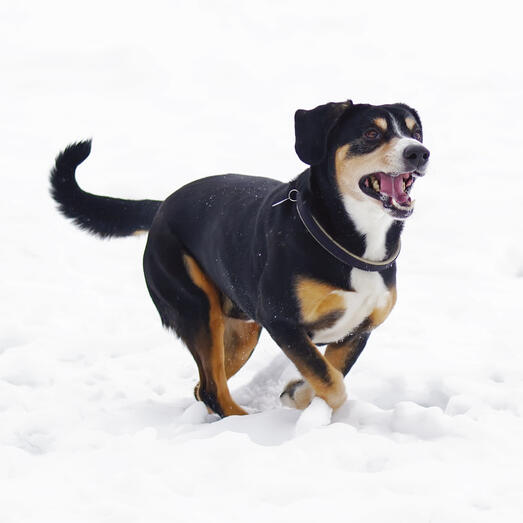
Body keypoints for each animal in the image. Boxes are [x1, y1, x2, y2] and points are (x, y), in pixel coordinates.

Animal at [51, 99, 432, 418]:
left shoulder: (357, 330)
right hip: (196, 308)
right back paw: (245, 423)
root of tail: (161, 207)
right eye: (371, 133)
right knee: (212, 389)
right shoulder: (281, 321)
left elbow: (329, 372)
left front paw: (296, 391)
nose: (420, 153)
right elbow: (332, 382)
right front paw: (300, 395)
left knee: (202, 386)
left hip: (241, 333)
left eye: (415, 132)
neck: (348, 239)